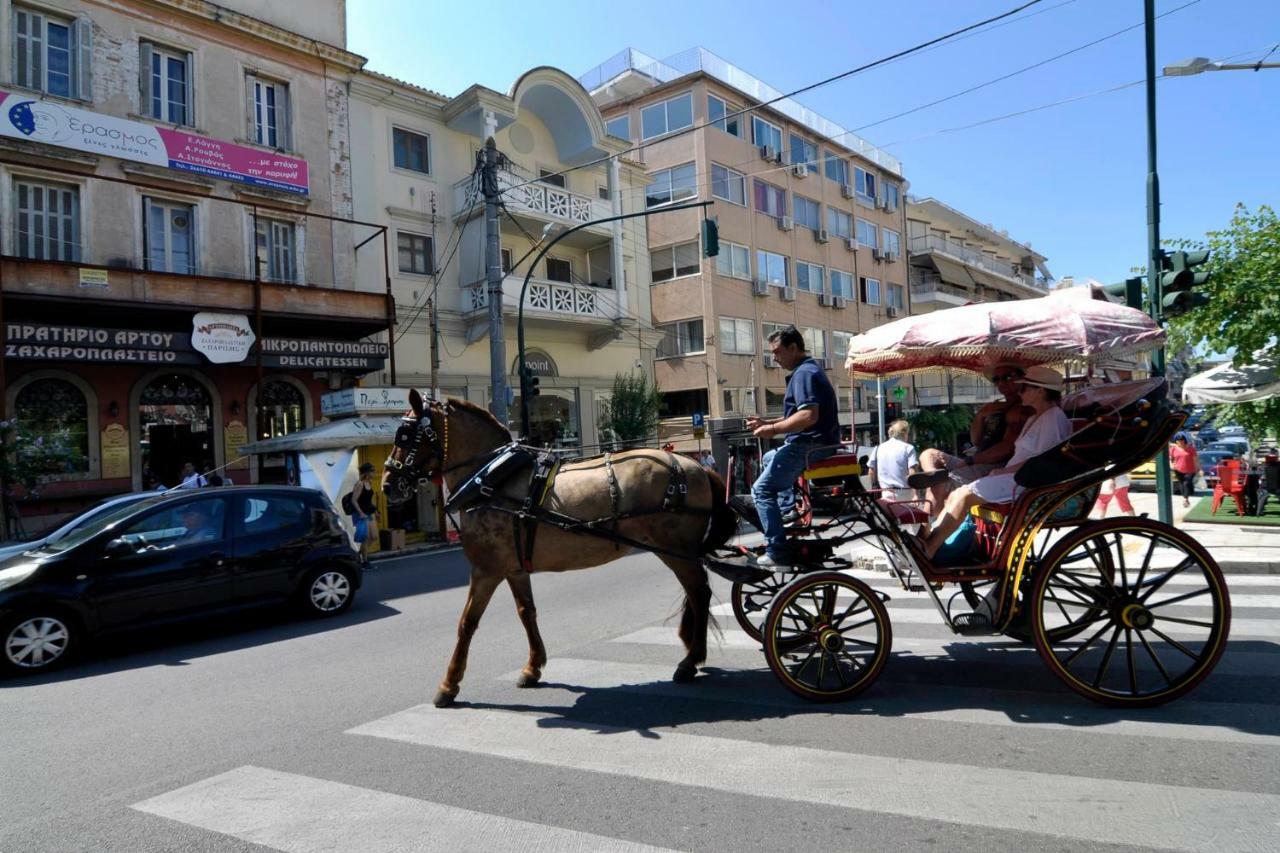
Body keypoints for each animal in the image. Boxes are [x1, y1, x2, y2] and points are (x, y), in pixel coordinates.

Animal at [384, 389, 737, 706]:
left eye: (405, 435)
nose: (388, 484)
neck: (490, 478)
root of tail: (695, 465)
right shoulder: (514, 568)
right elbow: (527, 612)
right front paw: (533, 667)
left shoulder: (486, 570)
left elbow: (466, 623)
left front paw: (449, 684)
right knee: (696, 592)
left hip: (674, 551)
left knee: (699, 592)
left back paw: (691, 660)